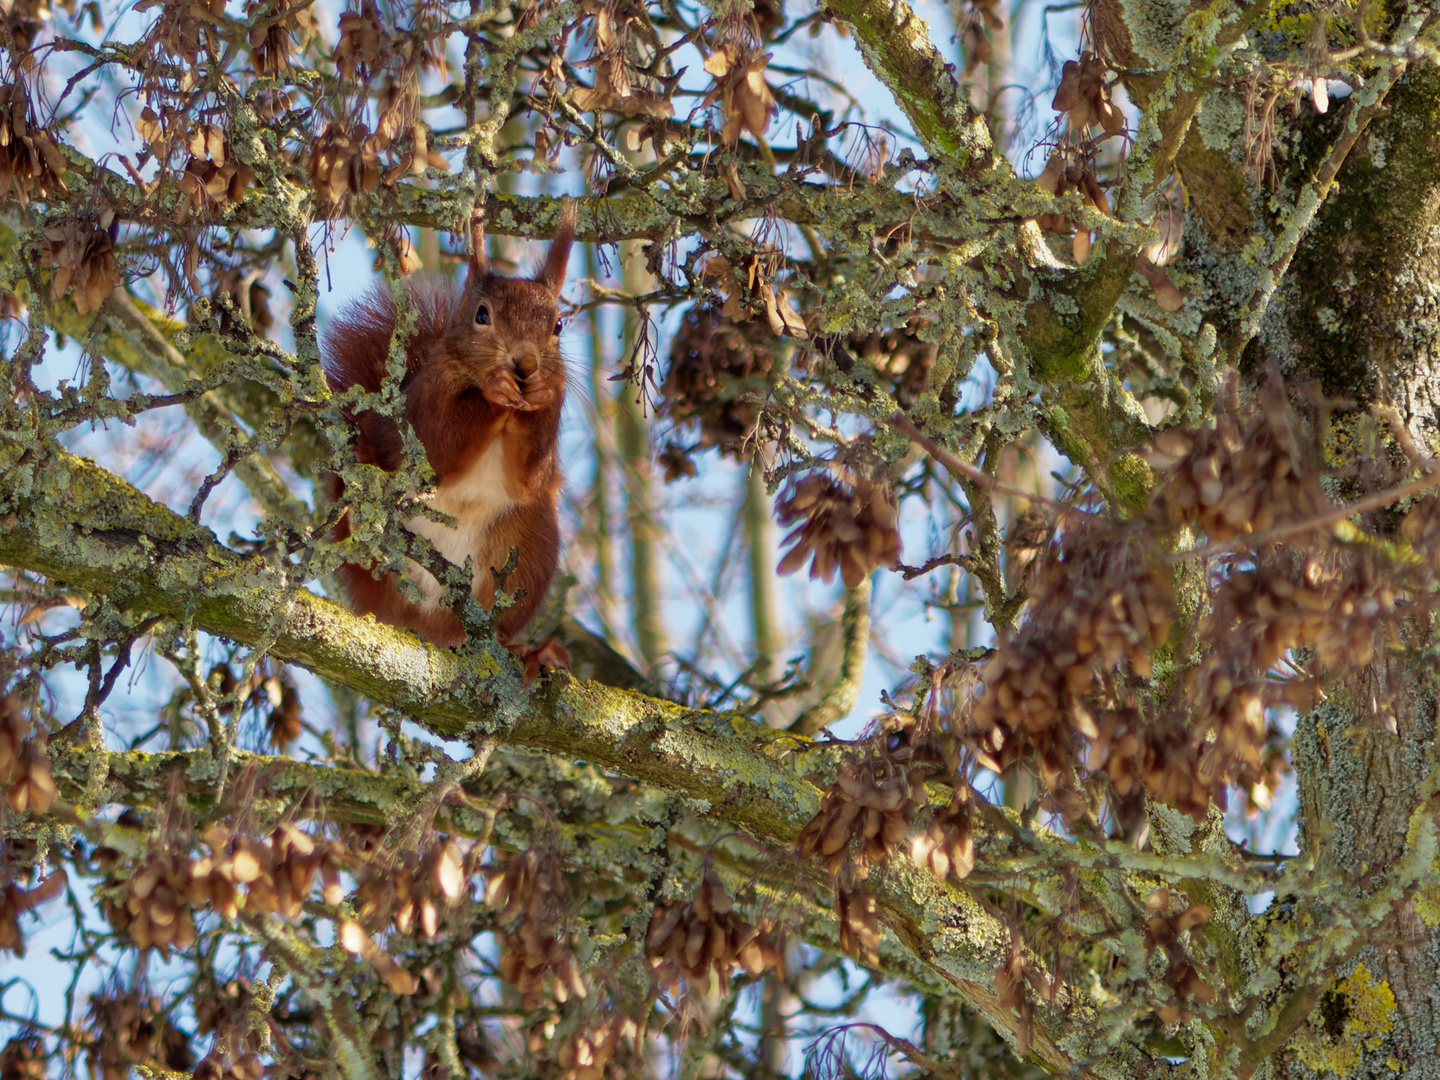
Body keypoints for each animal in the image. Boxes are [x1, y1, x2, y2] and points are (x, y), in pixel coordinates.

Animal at [326, 198, 573, 673]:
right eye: (482, 315)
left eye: (558, 326)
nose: (525, 364)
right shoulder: (423, 408)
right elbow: (440, 447)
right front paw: (494, 389)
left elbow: (529, 477)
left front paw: (539, 394)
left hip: (525, 546)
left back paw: (527, 653)